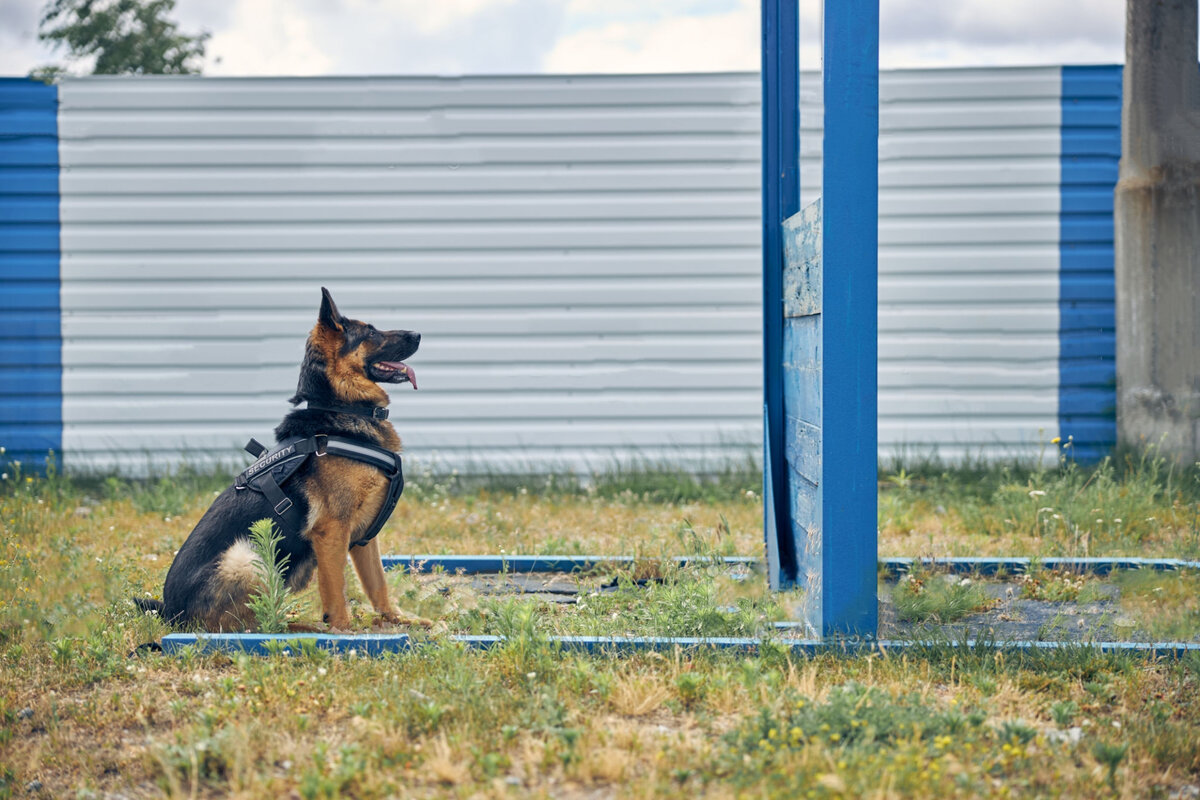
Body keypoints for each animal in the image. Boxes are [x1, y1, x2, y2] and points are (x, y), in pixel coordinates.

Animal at [139, 287, 427, 633]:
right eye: (370, 332)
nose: (418, 334)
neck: (341, 407)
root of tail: (170, 612)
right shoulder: (331, 531)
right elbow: (336, 591)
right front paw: (344, 632)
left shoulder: (363, 538)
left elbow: (377, 584)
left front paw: (397, 619)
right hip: (247, 556)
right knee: (252, 626)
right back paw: (305, 628)